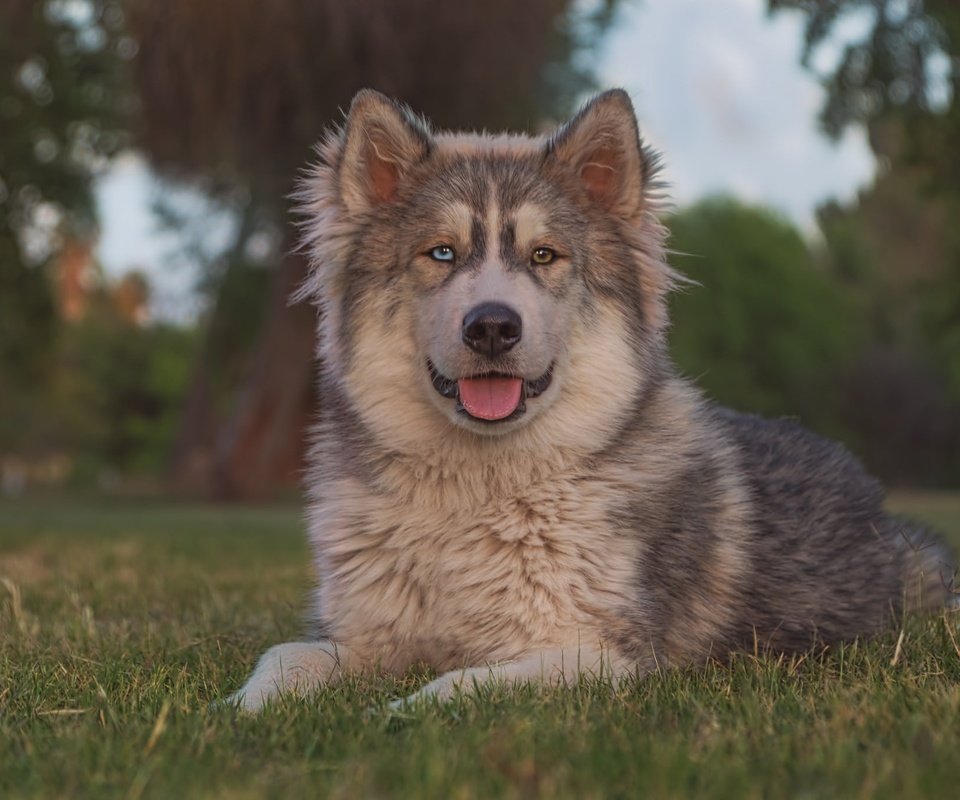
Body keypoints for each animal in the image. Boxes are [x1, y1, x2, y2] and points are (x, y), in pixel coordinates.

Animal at [229, 89, 956, 712]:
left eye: (544, 255)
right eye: (440, 253)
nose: (492, 328)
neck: (477, 493)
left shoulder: (602, 655)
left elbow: (457, 685)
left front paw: (394, 712)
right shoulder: (359, 633)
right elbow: (285, 656)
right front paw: (241, 711)